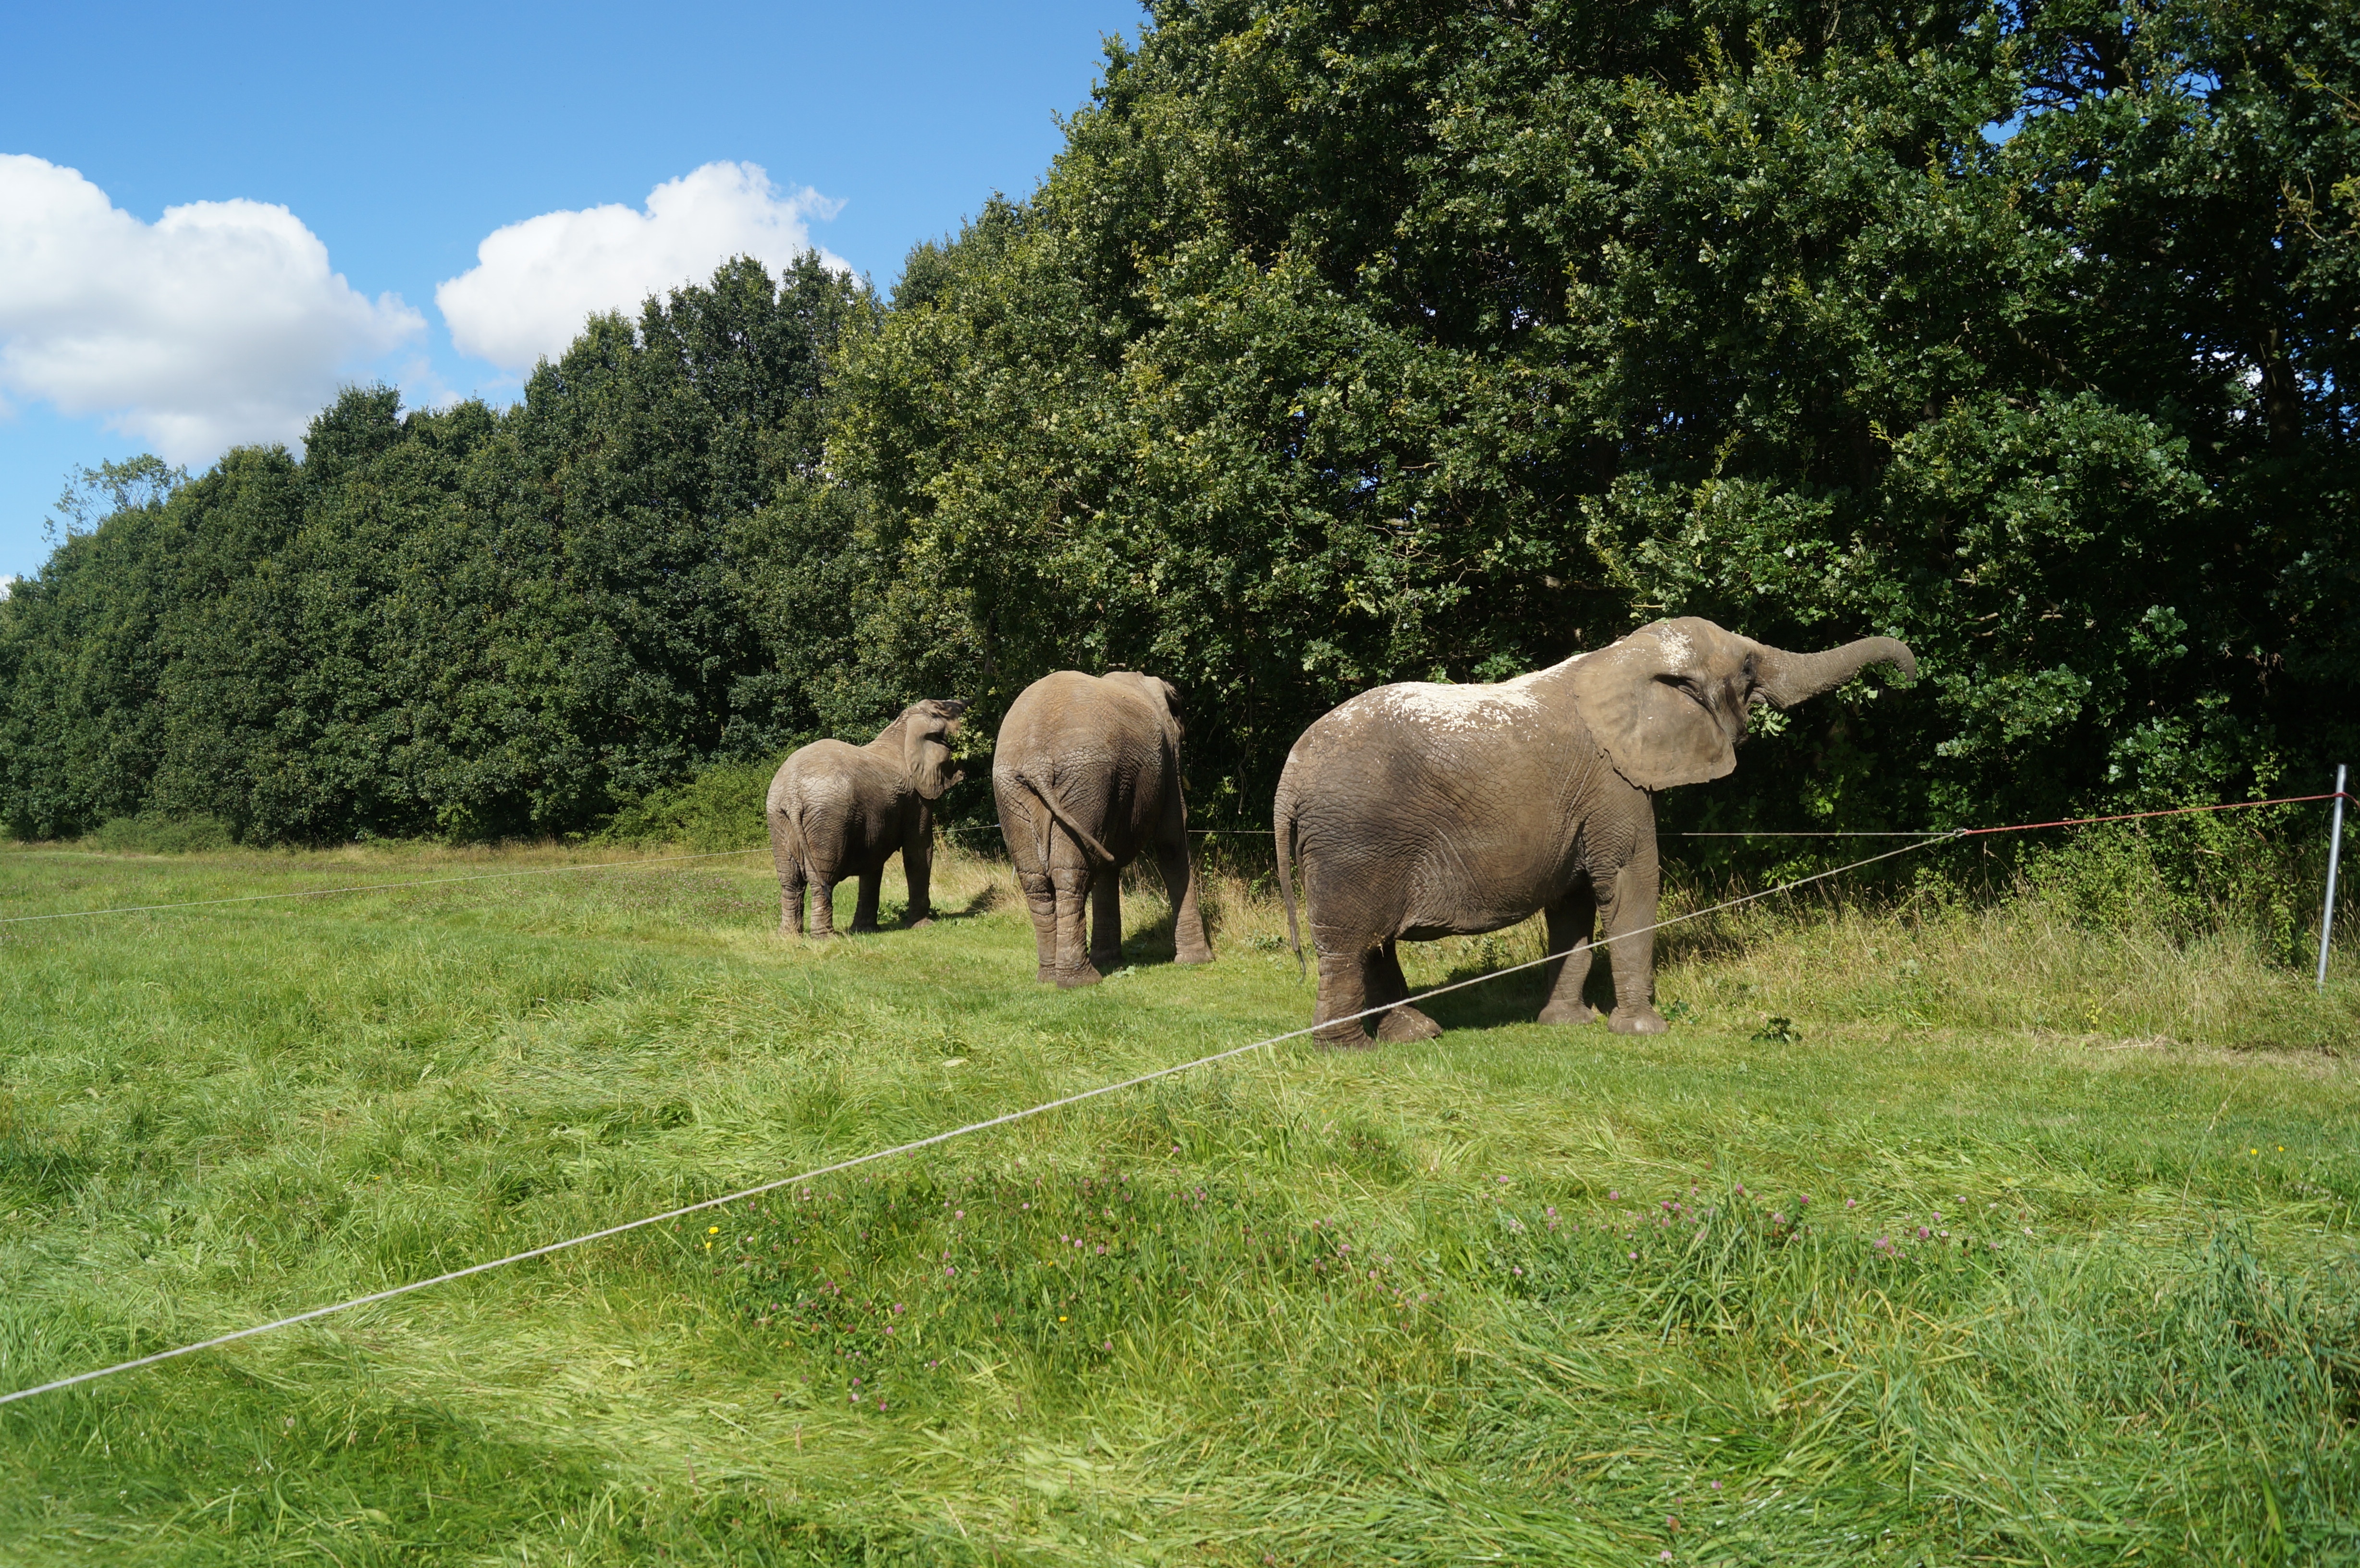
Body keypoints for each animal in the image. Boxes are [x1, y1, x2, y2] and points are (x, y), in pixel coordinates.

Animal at [764, 703, 967, 935]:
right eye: (954, 711)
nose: (968, 703)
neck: (905, 727)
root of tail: (792, 794)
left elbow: (873, 861)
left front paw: (865, 930)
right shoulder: (917, 798)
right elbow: (918, 851)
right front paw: (923, 926)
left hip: (778, 818)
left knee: (790, 881)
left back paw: (787, 936)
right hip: (826, 818)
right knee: (821, 879)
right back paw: (825, 937)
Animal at [991, 671, 1217, 987]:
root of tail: (1037, 761)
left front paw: (1110, 960)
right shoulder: (1168, 758)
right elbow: (1171, 839)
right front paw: (1198, 961)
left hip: (1019, 788)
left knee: (1036, 878)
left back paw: (1050, 977)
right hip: (1082, 779)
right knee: (1071, 872)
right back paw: (1081, 980)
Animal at [1274, 618, 1916, 1048]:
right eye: (1748, 668)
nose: (1909, 677)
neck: (1619, 658)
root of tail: (1289, 778)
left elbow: (1573, 904)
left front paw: (1567, 1025)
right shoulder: (1615, 781)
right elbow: (1632, 882)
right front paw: (1644, 1032)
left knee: (1372, 943)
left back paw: (1414, 1034)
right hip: (1355, 839)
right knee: (1351, 941)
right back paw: (1349, 1050)